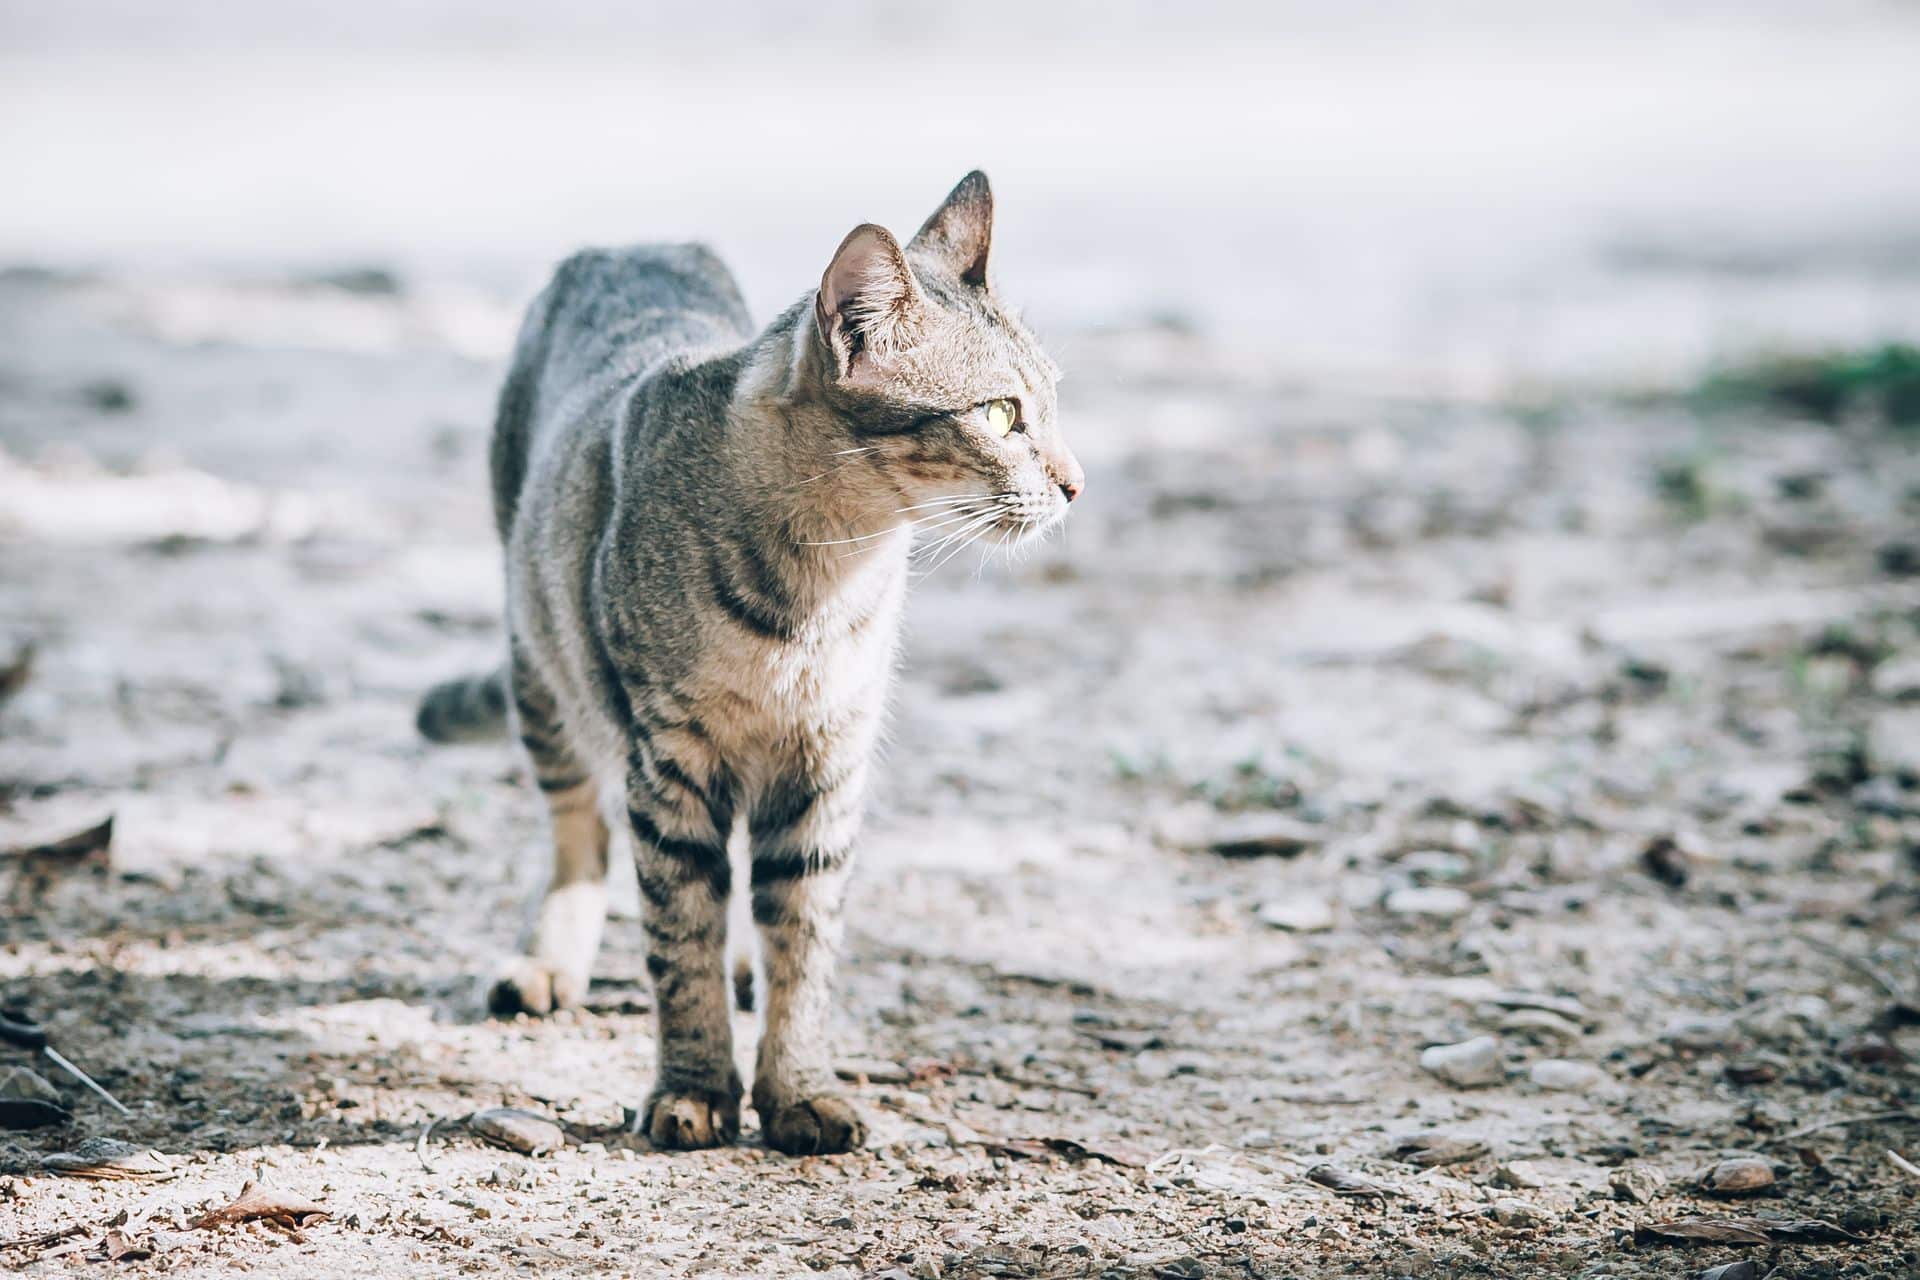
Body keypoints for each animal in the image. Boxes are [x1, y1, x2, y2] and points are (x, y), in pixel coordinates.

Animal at [414, 175, 1082, 1159]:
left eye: (1054, 403)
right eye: (1001, 413)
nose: (1077, 483)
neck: (823, 585)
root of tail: (636, 241)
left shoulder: (825, 764)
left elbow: (803, 943)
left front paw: (796, 1087)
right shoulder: (670, 761)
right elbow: (677, 936)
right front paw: (694, 1088)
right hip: (541, 665)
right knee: (583, 830)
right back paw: (549, 959)